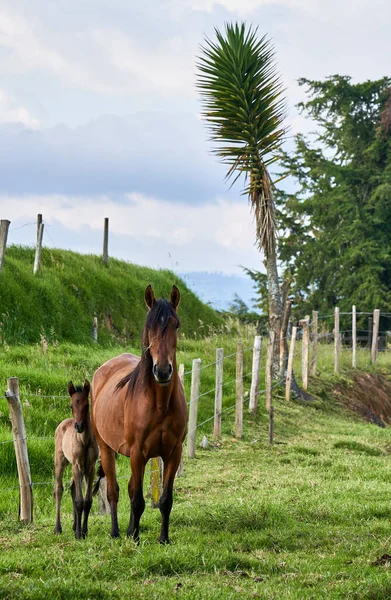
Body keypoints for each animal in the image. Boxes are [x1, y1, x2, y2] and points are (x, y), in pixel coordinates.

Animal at [53, 380, 99, 540]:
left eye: (87, 405)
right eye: (71, 406)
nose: (79, 426)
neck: (84, 442)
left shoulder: (90, 469)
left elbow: (88, 501)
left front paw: (83, 530)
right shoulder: (77, 466)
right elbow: (80, 501)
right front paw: (79, 535)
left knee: (72, 488)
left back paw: (74, 526)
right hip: (61, 461)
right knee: (59, 489)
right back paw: (57, 528)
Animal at [92, 286, 189, 544]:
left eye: (176, 325)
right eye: (150, 326)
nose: (162, 371)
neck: (159, 404)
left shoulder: (173, 452)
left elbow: (165, 500)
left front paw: (163, 539)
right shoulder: (138, 453)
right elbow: (136, 500)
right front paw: (134, 538)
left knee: (128, 488)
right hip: (106, 448)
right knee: (114, 491)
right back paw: (117, 532)